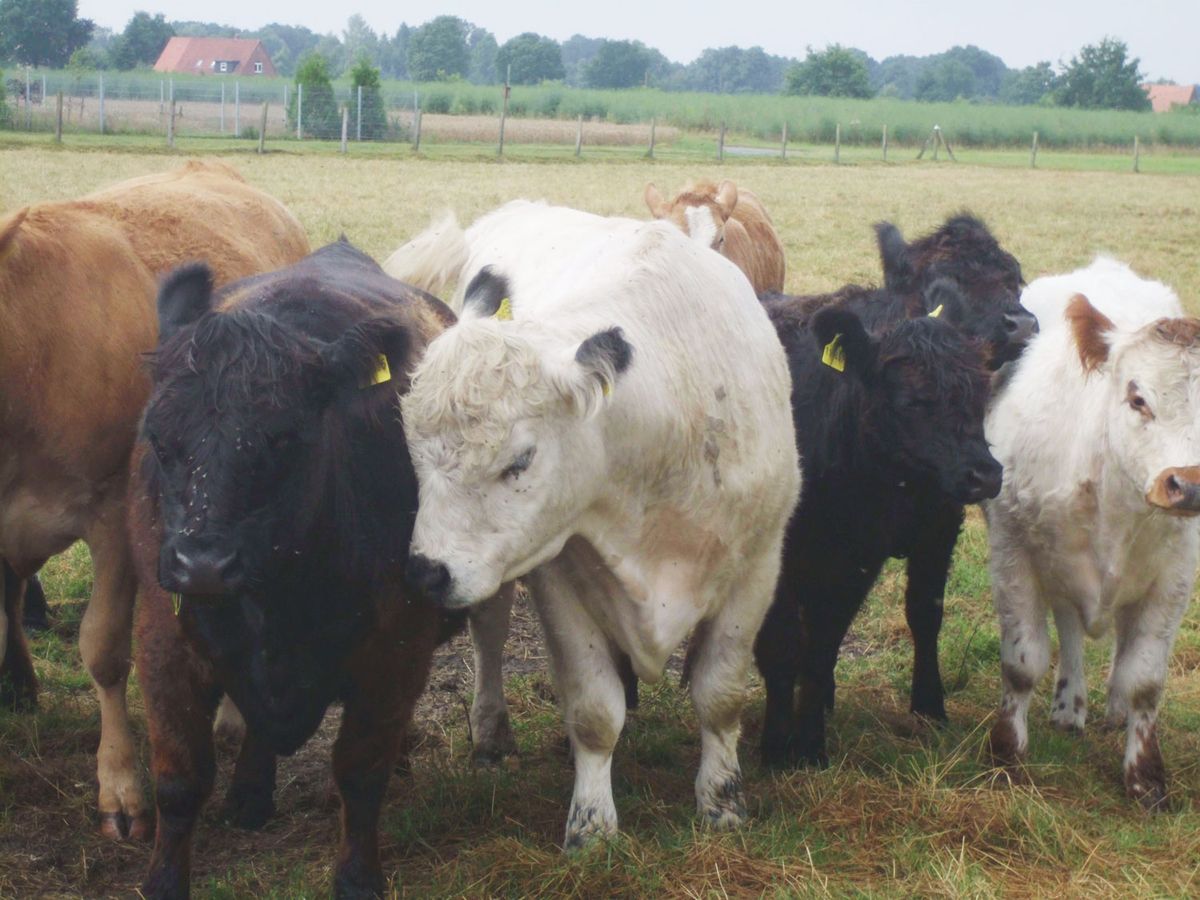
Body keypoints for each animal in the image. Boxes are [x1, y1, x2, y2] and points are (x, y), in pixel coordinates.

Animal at [129, 241, 461, 898]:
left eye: (284, 437)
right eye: (159, 436)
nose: (203, 564)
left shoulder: (397, 646)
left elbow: (360, 772)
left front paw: (358, 877)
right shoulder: (163, 639)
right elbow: (179, 782)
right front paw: (162, 881)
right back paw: (250, 794)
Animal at [393, 200, 800, 849]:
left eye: (519, 460)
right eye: (412, 452)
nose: (427, 572)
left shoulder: (757, 568)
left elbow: (720, 695)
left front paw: (723, 800)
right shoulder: (558, 577)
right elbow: (592, 710)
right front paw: (591, 824)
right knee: (490, 632)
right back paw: (491, 732)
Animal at [744, 213, 1034, 752]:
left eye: (1014, 277)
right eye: (943, 281)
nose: (1021, 323)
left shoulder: (922, 532)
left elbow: (915, 614)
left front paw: (928, 705)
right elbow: (784, 640)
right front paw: (779, 744)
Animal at [984, 262, 1200, 810]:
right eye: (1137, 397)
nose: (1189, 485)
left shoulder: (1174, 577)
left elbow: (1145, 679)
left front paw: (1145, 776)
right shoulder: (1013, 552)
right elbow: (1022, 661)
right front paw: (1006, 754)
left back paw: (1113, 709)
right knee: (1070, 628)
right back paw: (1069, 705)